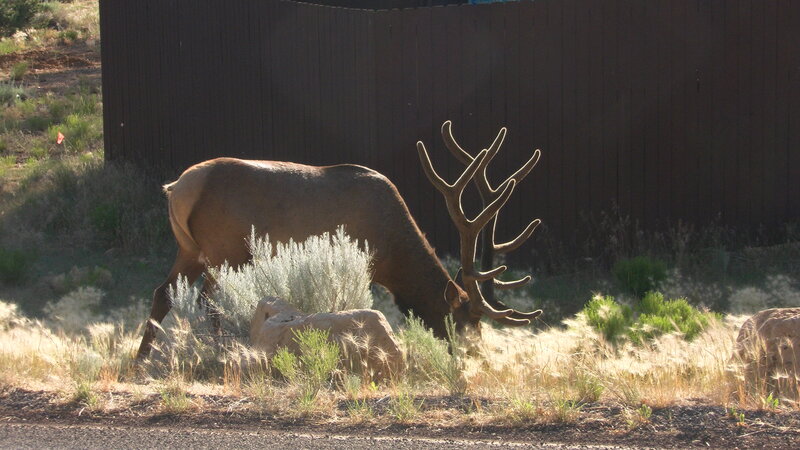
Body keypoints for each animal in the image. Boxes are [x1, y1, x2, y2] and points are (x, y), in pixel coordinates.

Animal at [135, 122, 542, 361]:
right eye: (462, 321)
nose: (476, 356)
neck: (393, 251)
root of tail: (178, 188)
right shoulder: (361, 262)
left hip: (190, 249)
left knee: (163, 292)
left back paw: (141, 360)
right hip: (225, 250)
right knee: (207, 300)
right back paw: (216, 353)